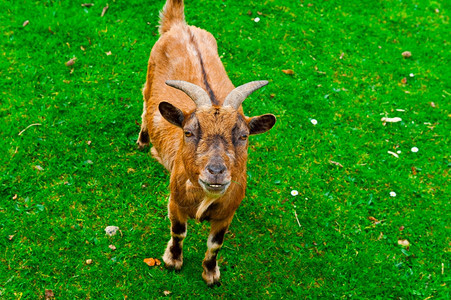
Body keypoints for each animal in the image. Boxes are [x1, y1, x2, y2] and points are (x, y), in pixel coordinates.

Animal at [138, 0, 278, 286]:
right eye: (189, 132)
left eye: (243, 135)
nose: (215, 172)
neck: (205, 198)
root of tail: (181, 26)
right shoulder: (175, 202)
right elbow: (178, 232)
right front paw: (173, 260)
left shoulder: (226, 214)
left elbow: (215, 244)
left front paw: (211, 273)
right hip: (149, 73)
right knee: (145, 103)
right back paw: (143, 140)